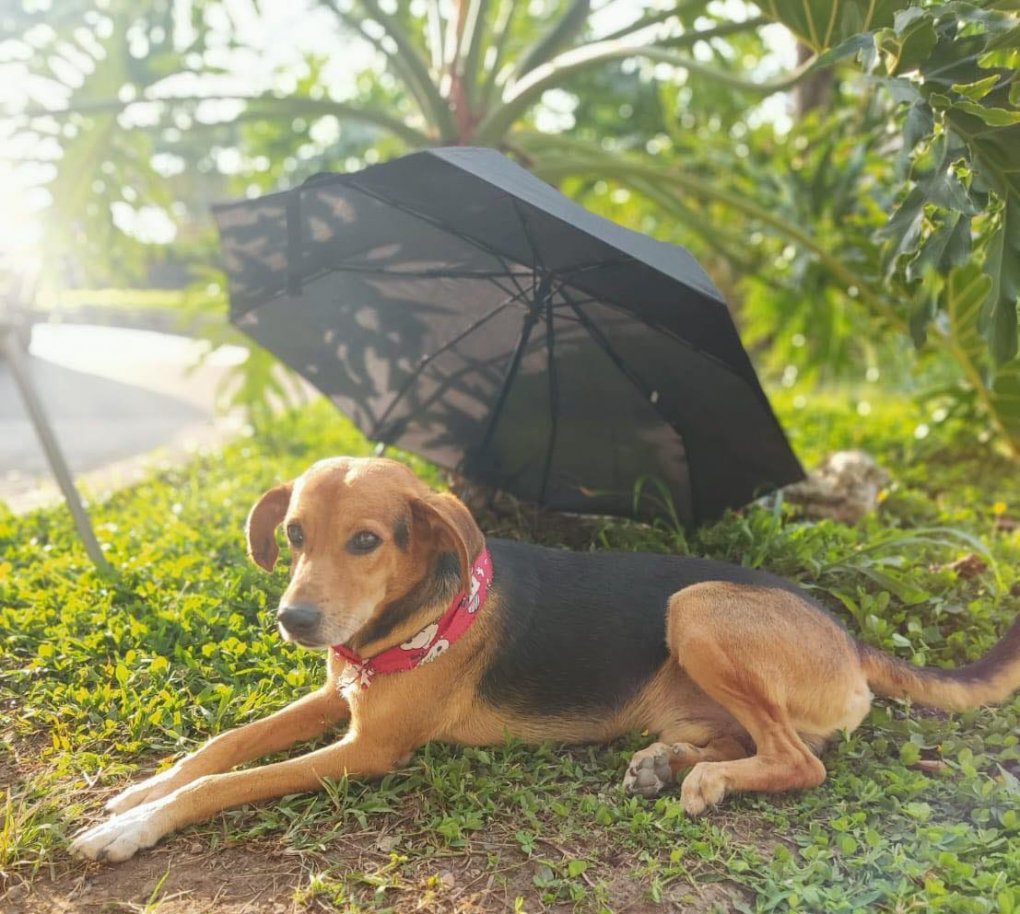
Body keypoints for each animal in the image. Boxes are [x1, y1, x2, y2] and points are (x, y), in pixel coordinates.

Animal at [71, 457, 1020, 865]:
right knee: (773, 743)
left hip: (697, 608)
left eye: (367, 540)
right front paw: (138, 789)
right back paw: (668, 763)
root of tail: (848, 633)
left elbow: (225, 783)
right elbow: (223, 746)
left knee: (800, 760)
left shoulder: (369, 748)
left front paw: (132, 828)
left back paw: (703, 781)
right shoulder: (341, 694)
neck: (409, 621)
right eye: (296, 535)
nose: (295, 621)